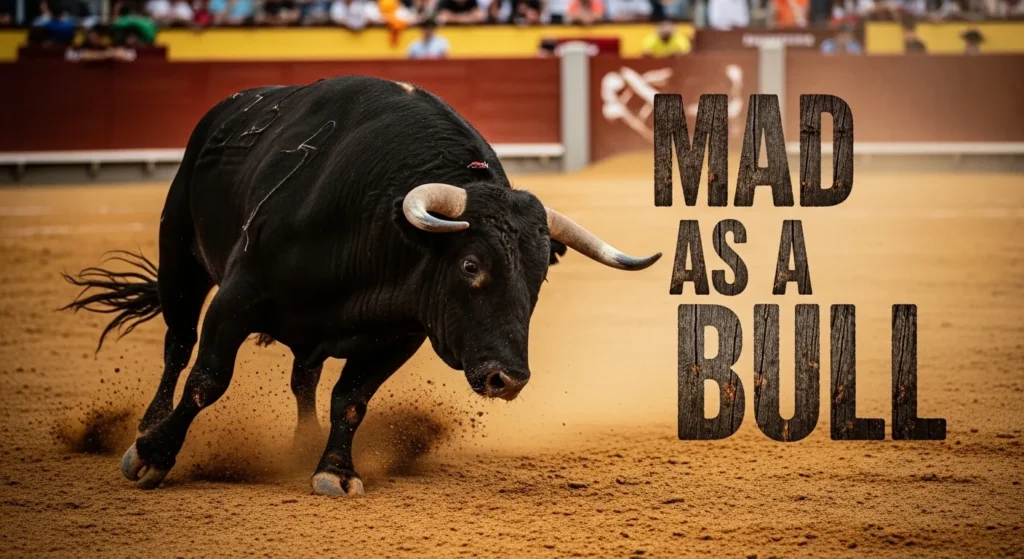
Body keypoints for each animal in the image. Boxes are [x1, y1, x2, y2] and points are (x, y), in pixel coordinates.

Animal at [62, 75, 661, 496]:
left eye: (540, 277)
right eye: (470, 265)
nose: (506, 379)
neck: (378, 231)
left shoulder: (399, 335)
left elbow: (350, 401)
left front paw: (333, 471)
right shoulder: (237, 296)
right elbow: (208, 378)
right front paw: (152, 455)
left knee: (303, 378)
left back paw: (300, 443)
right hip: (180, 257)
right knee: (178, 347)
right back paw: (148, 424)